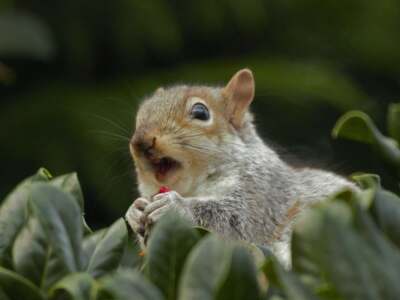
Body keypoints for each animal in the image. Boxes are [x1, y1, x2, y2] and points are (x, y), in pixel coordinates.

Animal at [124, 67, 356, 264]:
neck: (194, 187)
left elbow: (235, 219)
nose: (140, 142)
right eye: (140, 115)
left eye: (200, 112)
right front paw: (134, 212)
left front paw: (174, 205)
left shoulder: (263, 193)